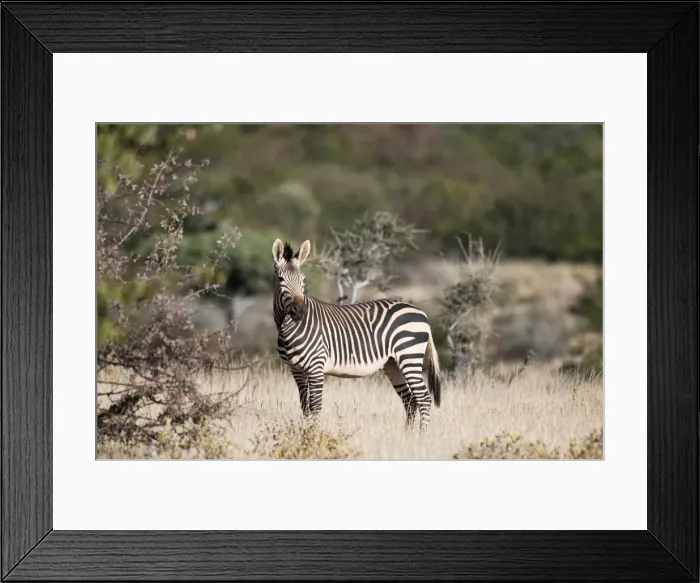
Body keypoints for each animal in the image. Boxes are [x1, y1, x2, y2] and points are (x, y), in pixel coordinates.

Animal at [271, 238, 442, 431]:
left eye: (303, 280)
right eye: (281, 279)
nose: (300, 311)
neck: (287, 328)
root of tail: (421, 312)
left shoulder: (316, 367)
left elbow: (315, 405)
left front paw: (314, 433)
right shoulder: (297, 370)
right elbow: (305, 406)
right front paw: (306, 432)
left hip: (409, 356)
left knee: (424, 398)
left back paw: (421, 434)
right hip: (393, 363)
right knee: (410, 399)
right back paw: (407, 434)